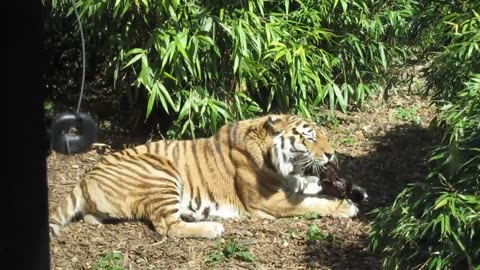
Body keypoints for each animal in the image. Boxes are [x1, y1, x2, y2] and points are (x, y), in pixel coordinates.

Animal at [49, 113, 360, 238]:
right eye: (309, 138)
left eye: (324, 135)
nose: (331, 154)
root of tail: (85, 177)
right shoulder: (269, 202)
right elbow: (312, 203)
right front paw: (346, 206)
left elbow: (307, 185)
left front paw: (320, 182)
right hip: (162, 173)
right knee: (168, 227)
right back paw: (212, 227)